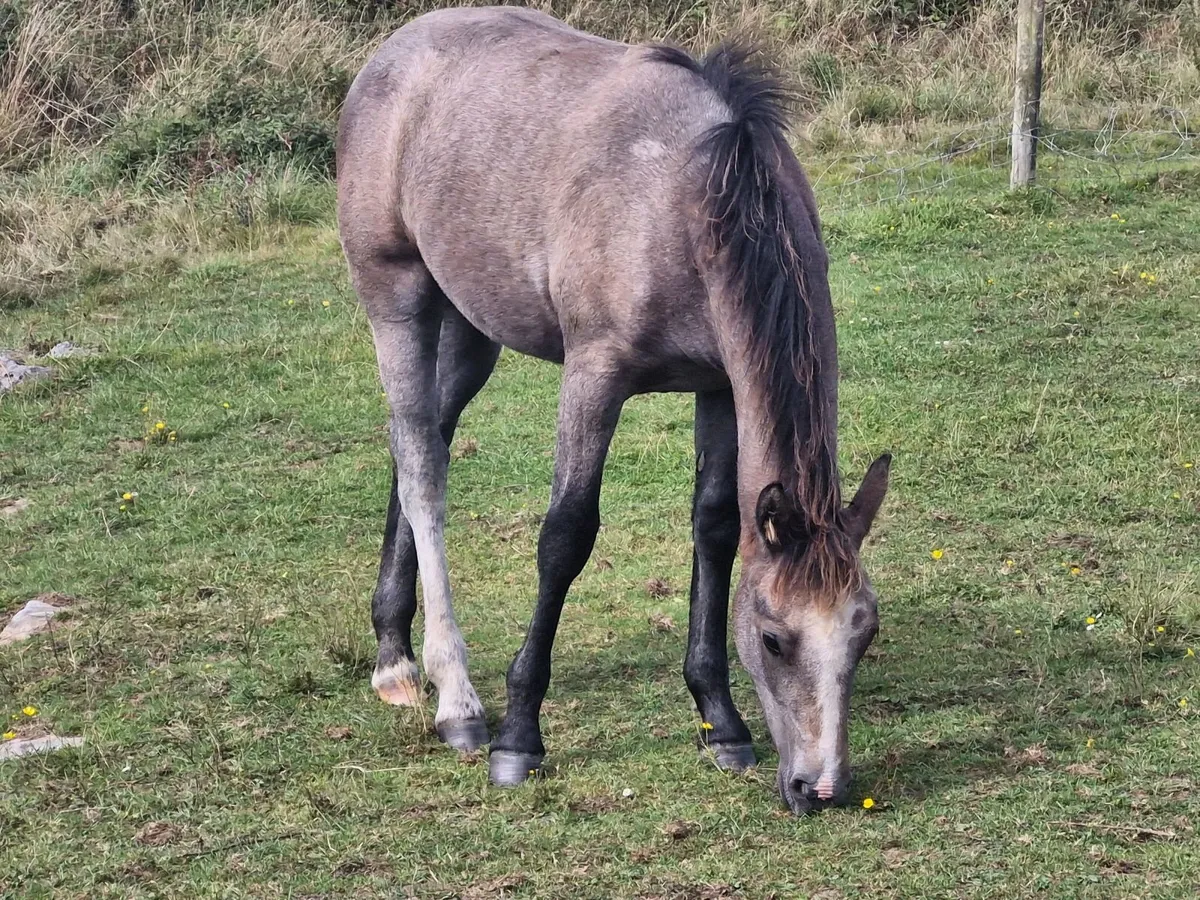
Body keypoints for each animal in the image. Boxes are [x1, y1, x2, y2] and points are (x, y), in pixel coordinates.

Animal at [336, 5, 890, 814]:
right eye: (773, 637)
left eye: (864, 633)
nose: (817, 787)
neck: (694, 198)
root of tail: (393, 52)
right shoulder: (594, 374)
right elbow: (565, 536)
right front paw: (519, 738)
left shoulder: (720, 385)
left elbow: (714, 528)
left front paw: (719, 720)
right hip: (396, 298)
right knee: (422, 468)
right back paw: (454, 699)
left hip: (471, 327)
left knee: (420, 442)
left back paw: (393, 653)